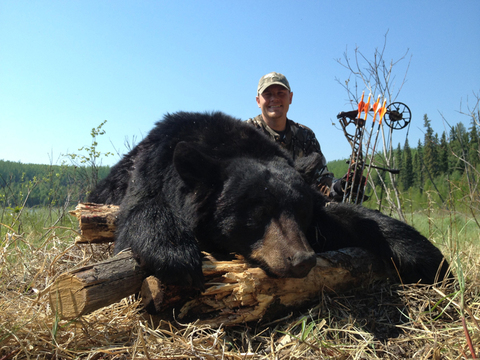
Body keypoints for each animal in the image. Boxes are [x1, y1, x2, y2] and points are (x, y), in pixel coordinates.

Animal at [89, 110, 450, 290]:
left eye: (300, 211)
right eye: (257, 212)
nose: (302, 258)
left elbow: (351, 216)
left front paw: (430, 260)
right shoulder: (153, 167)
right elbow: (139, 213)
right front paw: (177, 258)